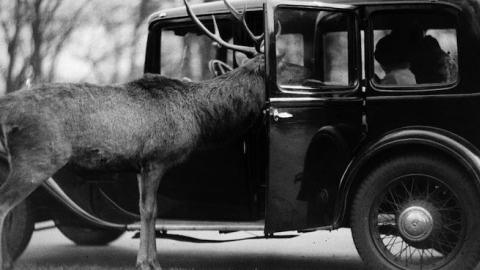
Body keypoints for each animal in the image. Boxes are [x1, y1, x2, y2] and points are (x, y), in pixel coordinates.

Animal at [0, 0, 266, 270]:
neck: (198, 116)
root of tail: (5, 107)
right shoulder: (155, 158)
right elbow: (150, 210)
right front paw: (149, 262)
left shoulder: (139, 165)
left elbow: (143, 210)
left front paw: (148, 259)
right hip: (37, 158)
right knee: (4, 205)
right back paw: (7, 261)